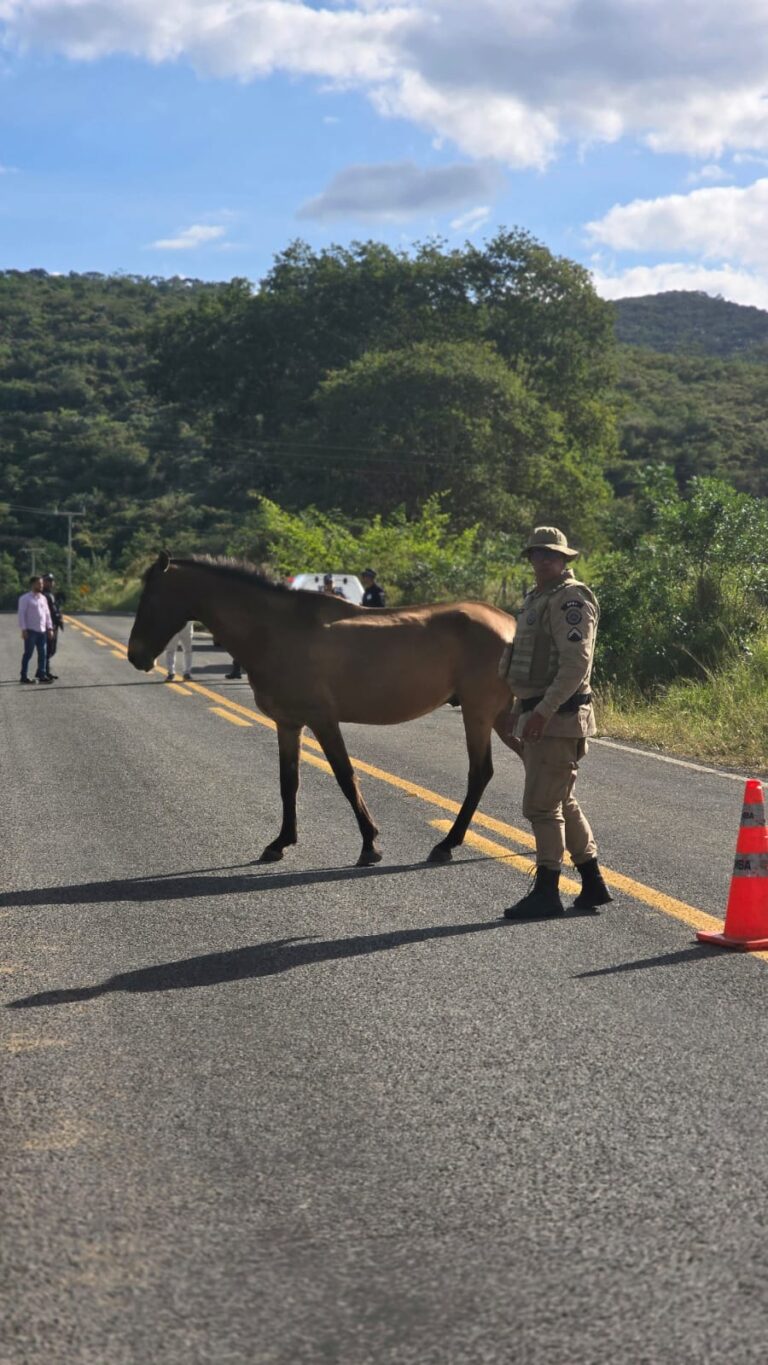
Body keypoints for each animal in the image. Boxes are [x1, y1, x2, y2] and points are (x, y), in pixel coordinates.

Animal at [127, 553, 516, 867]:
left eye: (151, 597)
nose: (135, 656)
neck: (276, 630)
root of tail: (510, 624)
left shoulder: (323, 720)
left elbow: (346, 777)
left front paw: (369, 844)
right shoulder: (289, 724)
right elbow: (288, 782)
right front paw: (281, 842)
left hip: (478, 714)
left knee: (480, 773)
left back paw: (447, 843)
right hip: (502, 718)